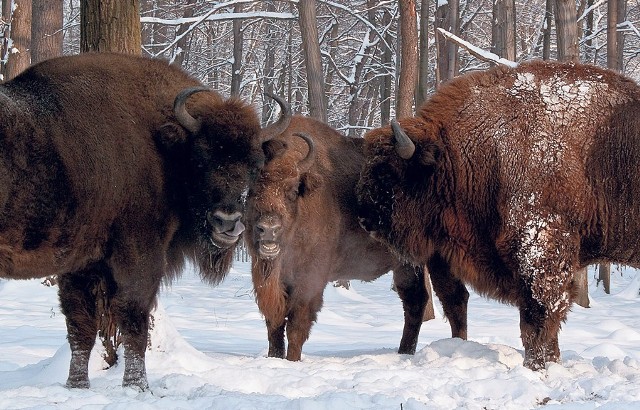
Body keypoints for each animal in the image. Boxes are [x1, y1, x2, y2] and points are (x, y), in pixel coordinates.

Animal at [0, 52, 284, 390]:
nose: (227, 222)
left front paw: (77, 386)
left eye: (254, 166)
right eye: (200, 159)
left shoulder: (79, 264)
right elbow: (134, 319)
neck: (163, 147)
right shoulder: (139, 256)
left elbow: (80, 327)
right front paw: (138, 386)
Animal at [356, 61, 640, 372]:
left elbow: (537, 318)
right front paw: (549, 363)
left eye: (388, 173)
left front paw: (536, 367)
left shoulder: (540, 250)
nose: (364, 218)